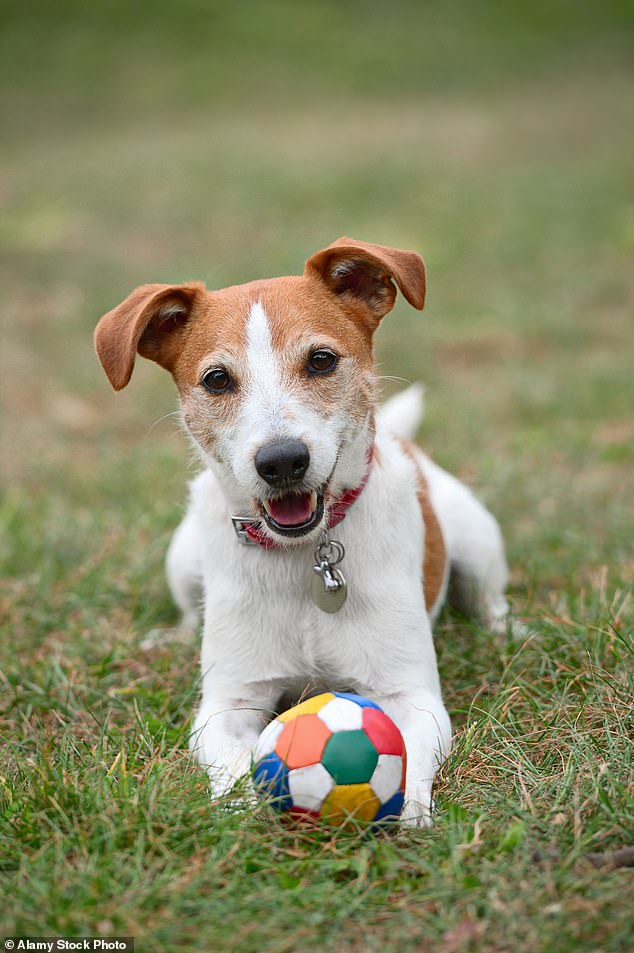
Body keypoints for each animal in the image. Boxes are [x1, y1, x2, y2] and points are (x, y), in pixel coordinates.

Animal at [95, 238, 508, 824]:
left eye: (321, 360)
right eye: (217, 379)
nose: (282, 461)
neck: (305, 557)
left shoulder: (411, 695)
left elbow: (409, 761)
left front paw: (410, 818)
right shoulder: (228, 704)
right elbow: (233, 770)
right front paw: (244, 816)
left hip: (477, 543)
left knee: (492, 603)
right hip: (182, 559)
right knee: (187, 611)